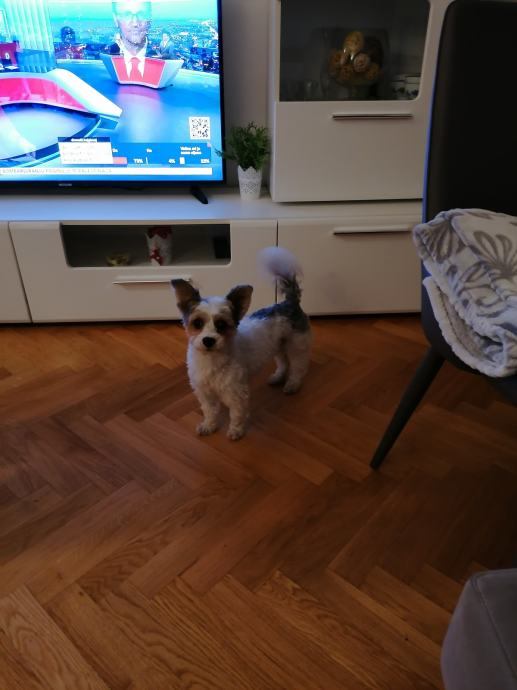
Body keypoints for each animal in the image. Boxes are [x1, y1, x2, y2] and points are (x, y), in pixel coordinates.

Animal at [171, 246, 311, 440]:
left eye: (222, 325)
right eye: (197, 323)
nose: (208, 340)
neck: (212, 360)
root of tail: (289, 303)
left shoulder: (236, 393)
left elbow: (236, 414)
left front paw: (236, 430)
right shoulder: (205, 393)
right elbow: (210, 412)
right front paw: (209, 425)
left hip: (296, 345)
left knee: (298, 367)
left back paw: (292, 384)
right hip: (278, 345)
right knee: (283, 362)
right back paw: (277, 377)